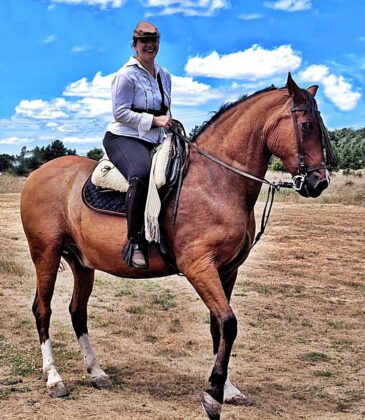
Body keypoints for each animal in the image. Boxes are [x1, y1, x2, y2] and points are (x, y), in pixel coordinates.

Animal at [19, 74, 332, 418]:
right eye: (306, 125)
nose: (319, 182)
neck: (217, 181)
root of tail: (36, 173)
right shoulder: (199, 267)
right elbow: (229, 323)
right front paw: (212, 397)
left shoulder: (227, 271)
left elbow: (218, 327)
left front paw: (227, 390)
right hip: (45, 254)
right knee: (43, 309)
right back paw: (54, 378)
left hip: (82, 263)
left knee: (77, 311)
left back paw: (97, 373)